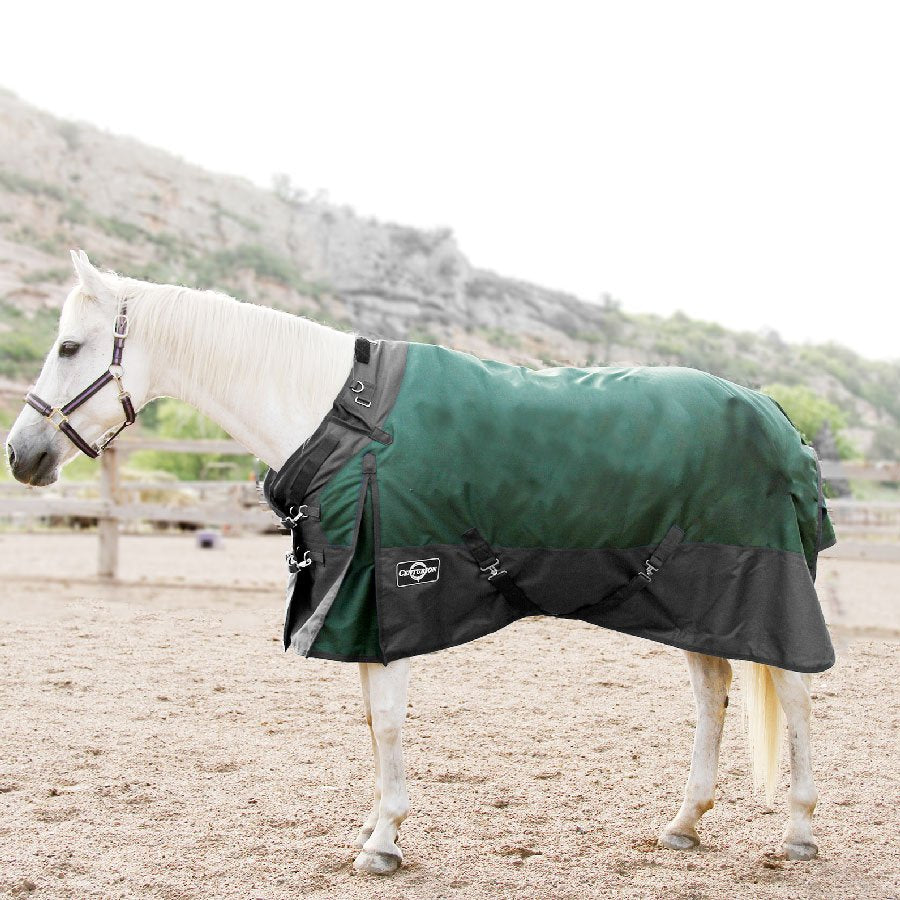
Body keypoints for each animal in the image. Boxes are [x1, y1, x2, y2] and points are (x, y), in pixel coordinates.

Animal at [5, 250, 823, 875]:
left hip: (763, 592)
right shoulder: (360, 610)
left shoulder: (383, 601)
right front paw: (378, 830)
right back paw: (685, 822)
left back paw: (800, 831)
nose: (20, 454)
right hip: (694, 601)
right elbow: (375, 721)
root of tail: (773, 412)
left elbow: (390, 723)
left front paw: (383, 842)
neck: (344, 420)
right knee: (714, 692)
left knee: (794, 692)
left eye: (70, 347)